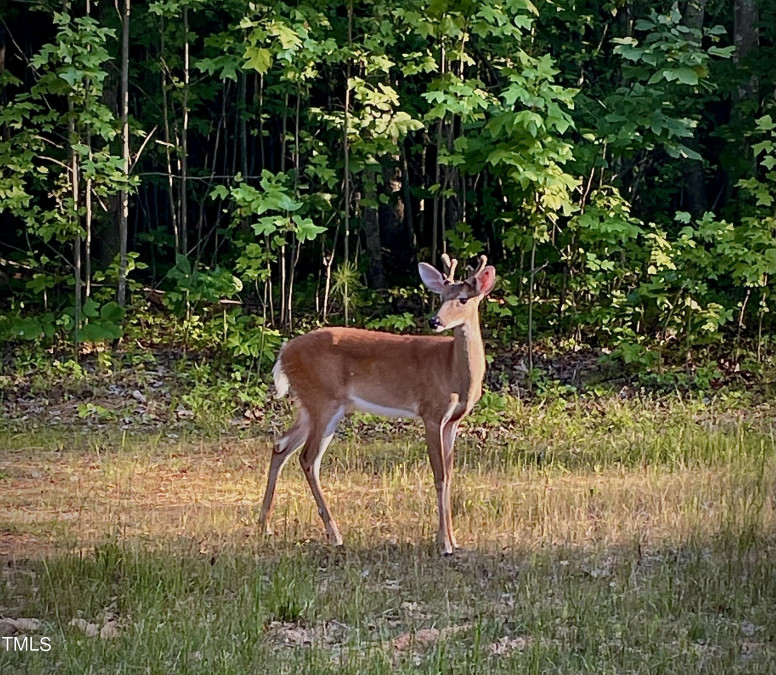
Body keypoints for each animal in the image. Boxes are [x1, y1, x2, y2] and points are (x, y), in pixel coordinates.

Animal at [256, 254, 498, 556]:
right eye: (442, 296)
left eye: (463, 299)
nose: (435, 321)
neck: (453, 371)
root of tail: (284, 351)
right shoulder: (431, 412)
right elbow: (440, 476)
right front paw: (444, 544)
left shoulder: (453, 421)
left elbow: (451, 475)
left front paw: (453, 540)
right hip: (323, 399)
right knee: (308, 458)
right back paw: (334, 534)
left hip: (309, 404)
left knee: (281, 446)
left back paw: (264, 525)